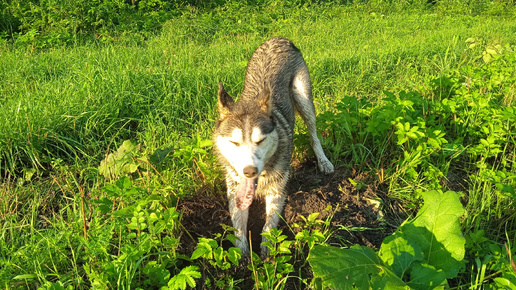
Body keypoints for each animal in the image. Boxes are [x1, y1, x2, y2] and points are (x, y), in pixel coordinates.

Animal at [214, 36, 334, 256]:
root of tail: (278, 38)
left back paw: (323, 161)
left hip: (304, 99)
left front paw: (267, 255)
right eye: (234, 142)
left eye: (260, 140)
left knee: (314, 133)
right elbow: (239, 227)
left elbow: (269, 226)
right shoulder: (235, 189)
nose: (249, 171)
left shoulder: (277, 190)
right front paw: (242, 257)